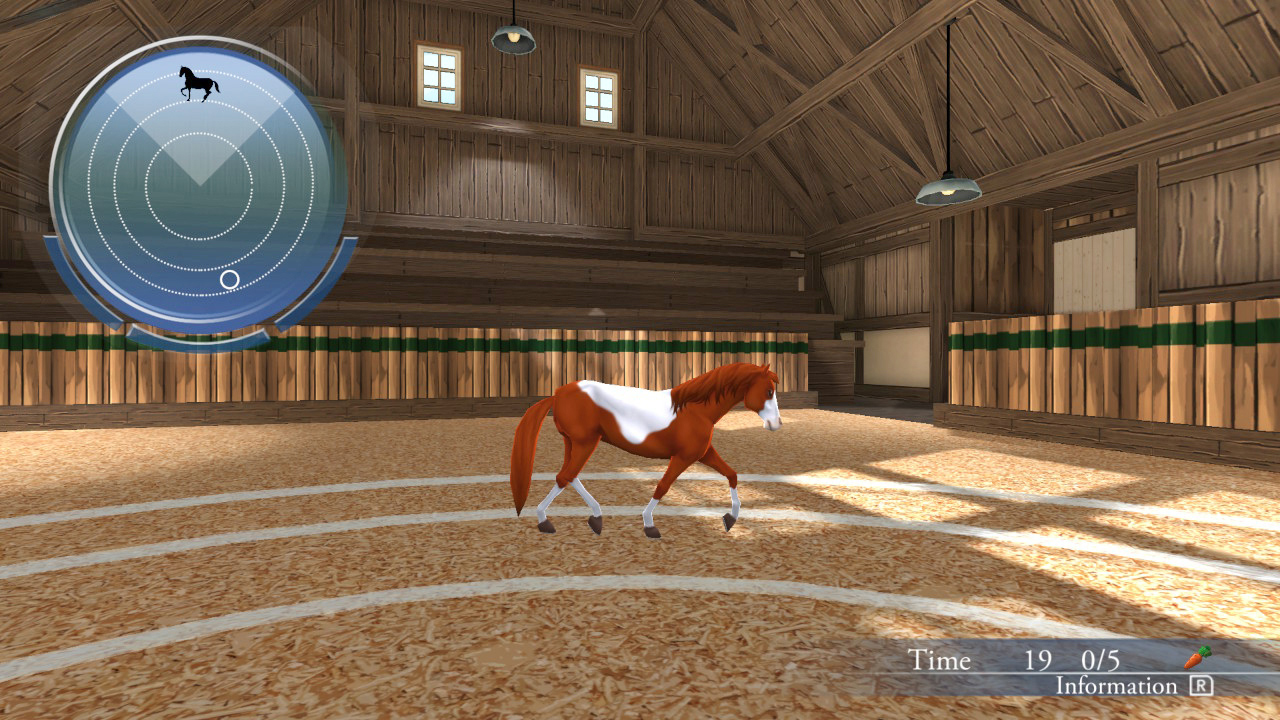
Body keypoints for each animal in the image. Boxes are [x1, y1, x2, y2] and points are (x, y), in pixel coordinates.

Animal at [510, 362, 781, 539]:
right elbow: (663, 486)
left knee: (570, 476)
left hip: (574, 443)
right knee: (565, 477)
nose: (776, 424)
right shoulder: (683, 457)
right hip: (585, 443)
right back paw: (545, 521)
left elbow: (732, 474)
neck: (695, 409)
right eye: (769, 391)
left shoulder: (703, 453)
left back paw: (595, 519)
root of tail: (557, 394)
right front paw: (650, 526)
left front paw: (730, 519)